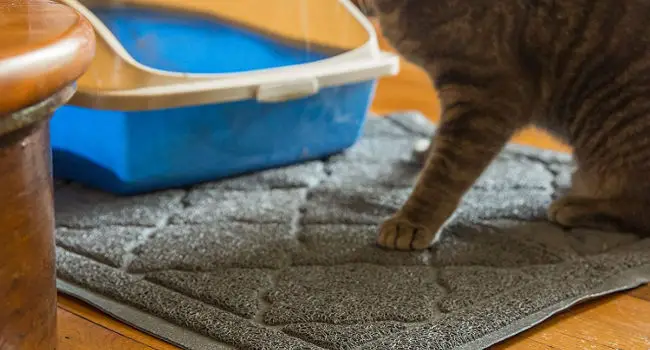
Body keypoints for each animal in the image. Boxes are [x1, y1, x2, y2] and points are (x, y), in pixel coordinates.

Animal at [352, 0, 648, 252]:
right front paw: (426, 152)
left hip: (612, 117)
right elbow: (439, 143)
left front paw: (412, 221)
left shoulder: (487, 96)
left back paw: (576, 205)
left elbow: (444, 172)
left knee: (638, 212)